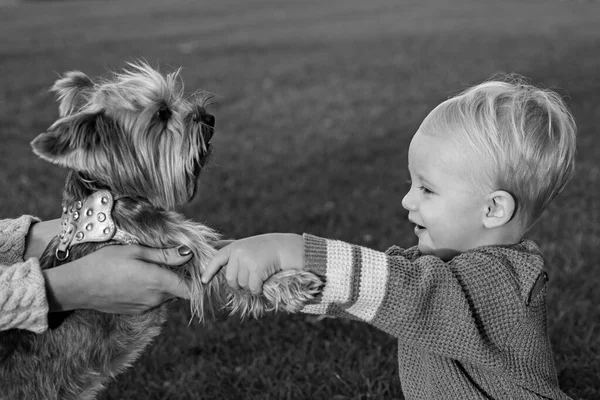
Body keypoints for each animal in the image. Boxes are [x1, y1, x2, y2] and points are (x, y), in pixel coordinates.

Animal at [0, 62, 324, 400]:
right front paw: (292, 285)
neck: (111, 197)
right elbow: (219, 264)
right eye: (162, 113)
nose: (209, 117)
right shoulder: (176, 249)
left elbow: (225, 246)